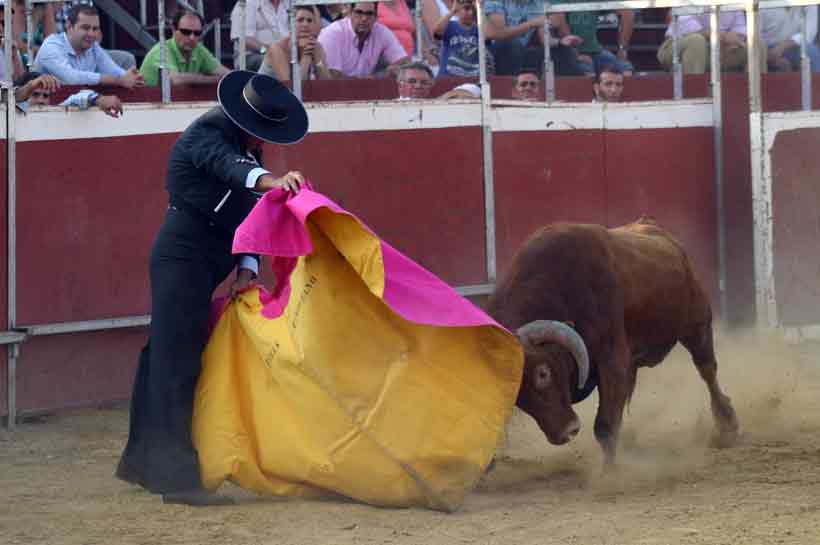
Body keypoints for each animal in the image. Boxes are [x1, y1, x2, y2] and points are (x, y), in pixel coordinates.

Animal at [490, 217, 740, 464]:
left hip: (697, 325)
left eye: (543, 374)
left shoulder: (611, 359)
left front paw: (610, 472)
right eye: (515, 392)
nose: (566, 432)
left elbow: (605, 425)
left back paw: (727, 427)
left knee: (707, 370)